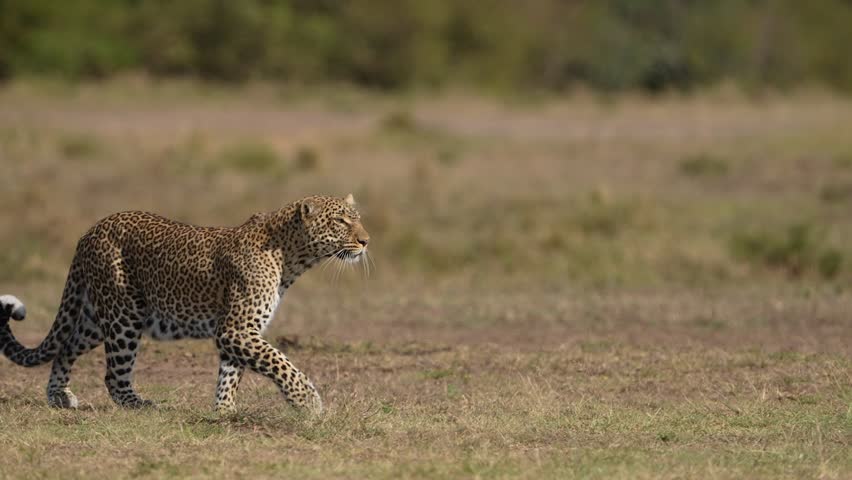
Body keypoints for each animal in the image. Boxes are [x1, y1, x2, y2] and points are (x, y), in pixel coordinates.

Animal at [0, 194, 370, 414]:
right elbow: (280, 363)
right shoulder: (236, 330)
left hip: (97, 316)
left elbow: (231, 374)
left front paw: (224, 413)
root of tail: (91, 231)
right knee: (113, 375)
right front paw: (308, 403)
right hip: (123, 315)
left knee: (66, 346)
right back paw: (141, 405)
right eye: (341, 221)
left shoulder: (237, 332)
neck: (292, 256)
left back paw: (59, 397)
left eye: (358, 218)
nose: (366, 241)